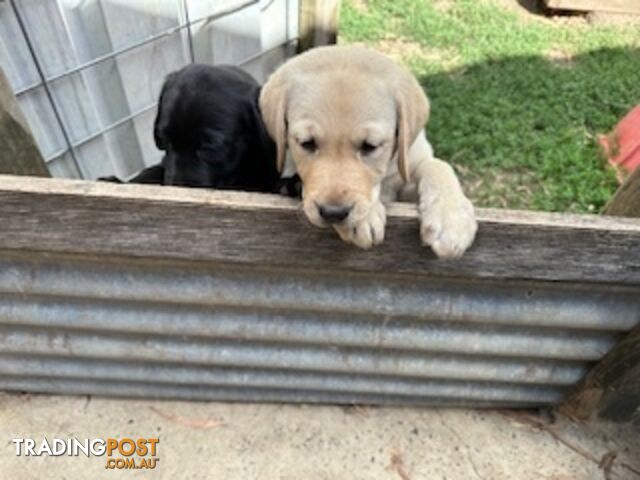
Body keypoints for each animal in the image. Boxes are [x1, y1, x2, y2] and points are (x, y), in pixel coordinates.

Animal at [100, 63, 300, 195]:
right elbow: (152, 171)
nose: (176, 189)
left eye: (210, 149)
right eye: (164, 142)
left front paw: (291, 187)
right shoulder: (164, 162)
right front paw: (117, 183)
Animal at [258, 46, 476, 258]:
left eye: (370, 146)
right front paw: (365, 218)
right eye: (307, 143)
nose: (333, 213)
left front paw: (451, 218)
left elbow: (437, 165)